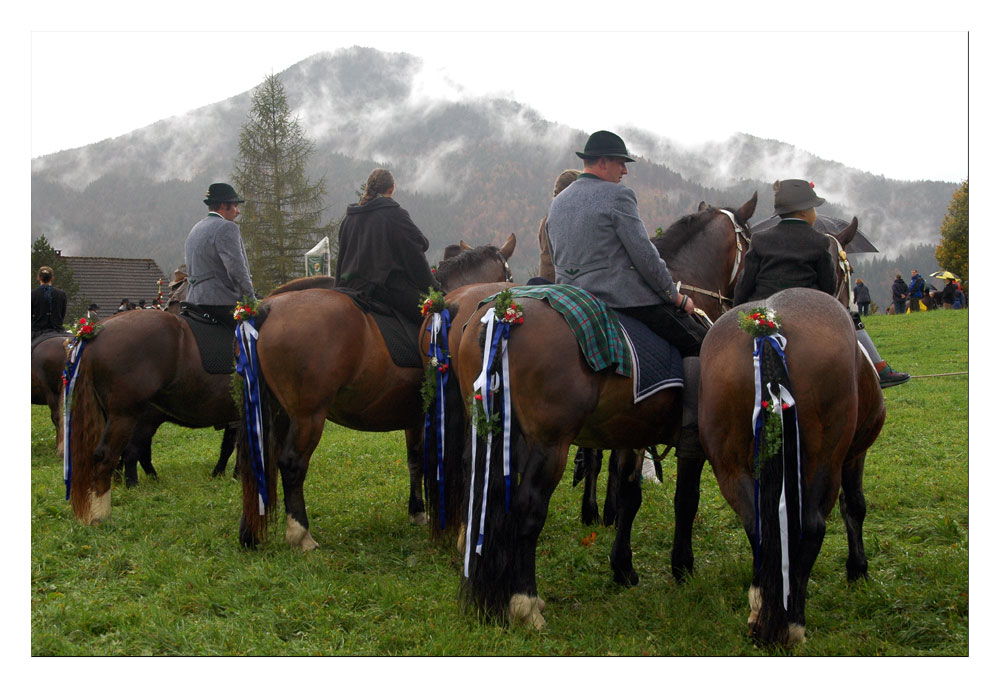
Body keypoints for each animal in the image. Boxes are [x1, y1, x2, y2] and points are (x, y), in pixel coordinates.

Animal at [234, 236, 516, 552]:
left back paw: (250, 532)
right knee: (292, 463)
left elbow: (415, 460)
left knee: (259, 461)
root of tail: (266, 308)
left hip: (275, 413)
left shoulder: (415, 418)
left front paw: (417, 511)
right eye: (508, 276)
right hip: (308, 416)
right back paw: (300, 534)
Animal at [446, 191, 756, 628]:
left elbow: (629, 497)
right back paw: (526, 602)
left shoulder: (631, 433)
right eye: (750, 243)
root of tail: (503, 311)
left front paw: (623, 567)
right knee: (528, 509)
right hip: (549, 445)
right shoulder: (691, 441)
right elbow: (686, 498)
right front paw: (682, 565)